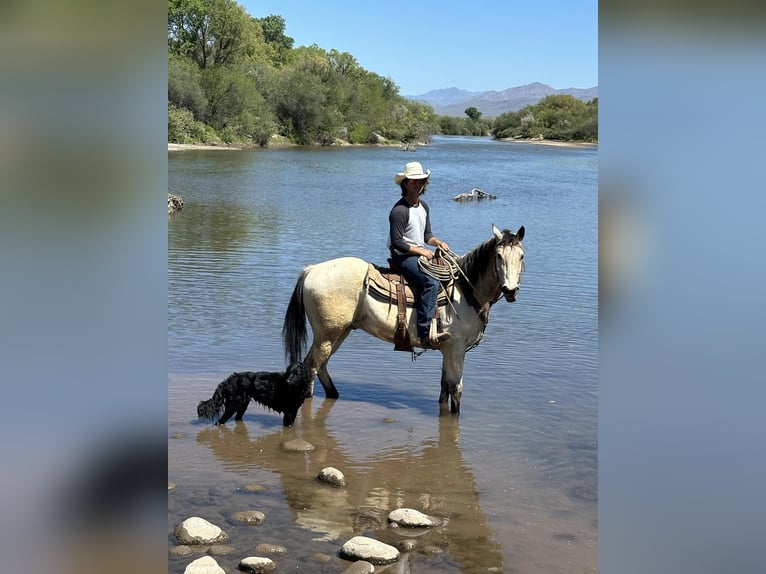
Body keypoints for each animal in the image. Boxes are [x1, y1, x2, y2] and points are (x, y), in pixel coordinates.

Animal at [282, 225, 525, 414]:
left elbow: (444, 387)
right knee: (312, 367)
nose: (510, 290)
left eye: (521, 256)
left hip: (340, 331)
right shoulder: (456, 348)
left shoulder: (448, 350)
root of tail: (311, 270)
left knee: (321, 366)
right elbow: (456, 390)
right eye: (499, 256)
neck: (464, 292)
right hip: (327, 334)